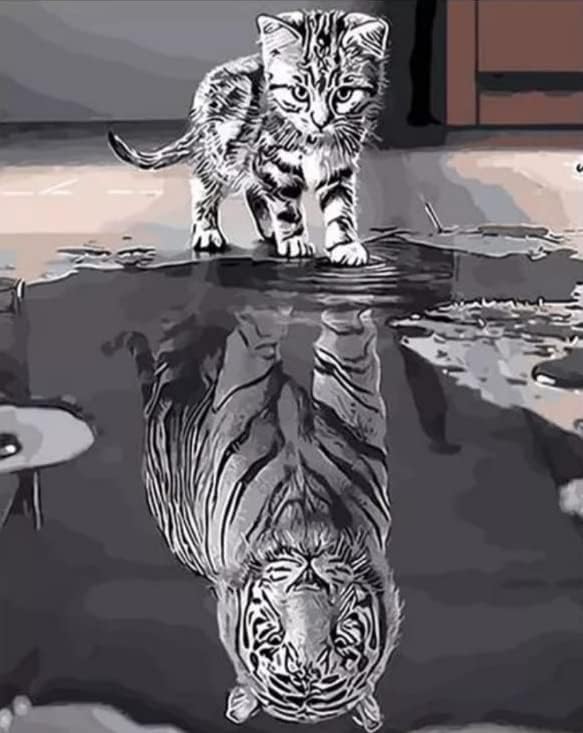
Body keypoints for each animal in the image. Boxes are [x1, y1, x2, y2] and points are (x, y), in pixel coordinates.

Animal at [107, 9, 390, 267]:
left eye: (343, 93)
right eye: (300, 92)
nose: (320, 121)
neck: (314, 141)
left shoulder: (337, 168)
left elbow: (340, 210)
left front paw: (346, 245)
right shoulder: (272, 163)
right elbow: (286, 208)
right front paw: (294, 239)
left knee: (253, 190)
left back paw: (269, 229)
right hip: (219, 155)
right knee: (204, 188)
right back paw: (207, 230)